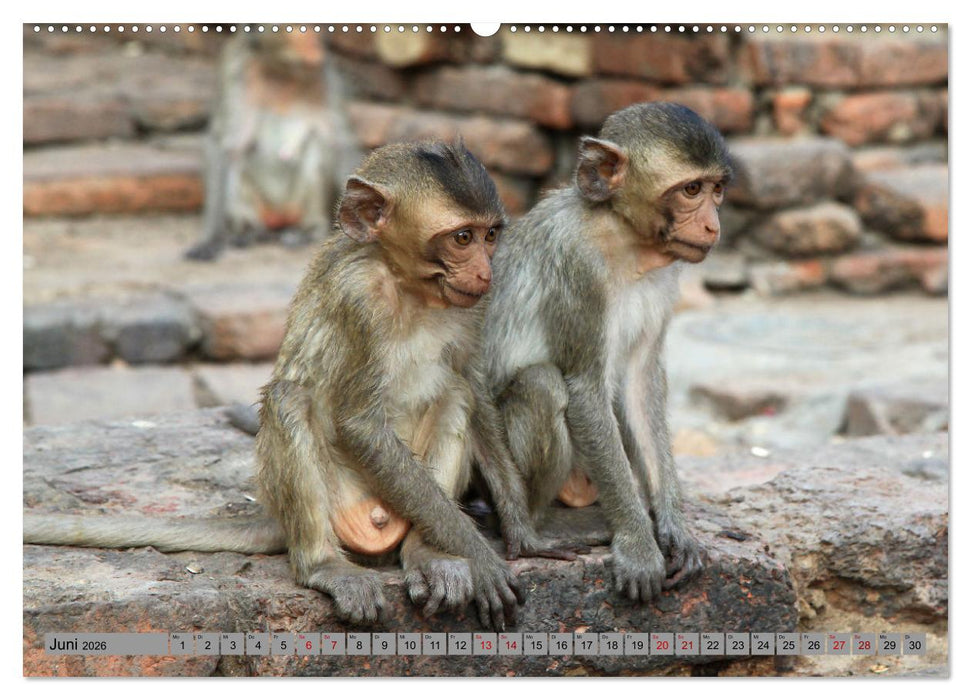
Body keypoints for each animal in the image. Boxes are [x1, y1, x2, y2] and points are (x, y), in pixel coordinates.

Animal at [185, 32, 359, 260]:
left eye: (316, 29)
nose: (316, 43)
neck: (280, 68)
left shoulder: (327, 77)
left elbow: (341, 143)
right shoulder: (234, 68)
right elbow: (222, 143)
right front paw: (211, 238)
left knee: (317, 149)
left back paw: (307, 230)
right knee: (237, 159)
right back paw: (249, 231)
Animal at [477, 102, 733, 602]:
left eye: (716, 189)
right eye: (691, 190)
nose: (713, 225)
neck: (622, 237)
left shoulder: (664, 278)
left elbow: (638, 387)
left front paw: (674, 526)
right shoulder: (578, 268)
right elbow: (584, 390)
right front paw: (637, 543)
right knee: (541, 384)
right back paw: (542, 525)